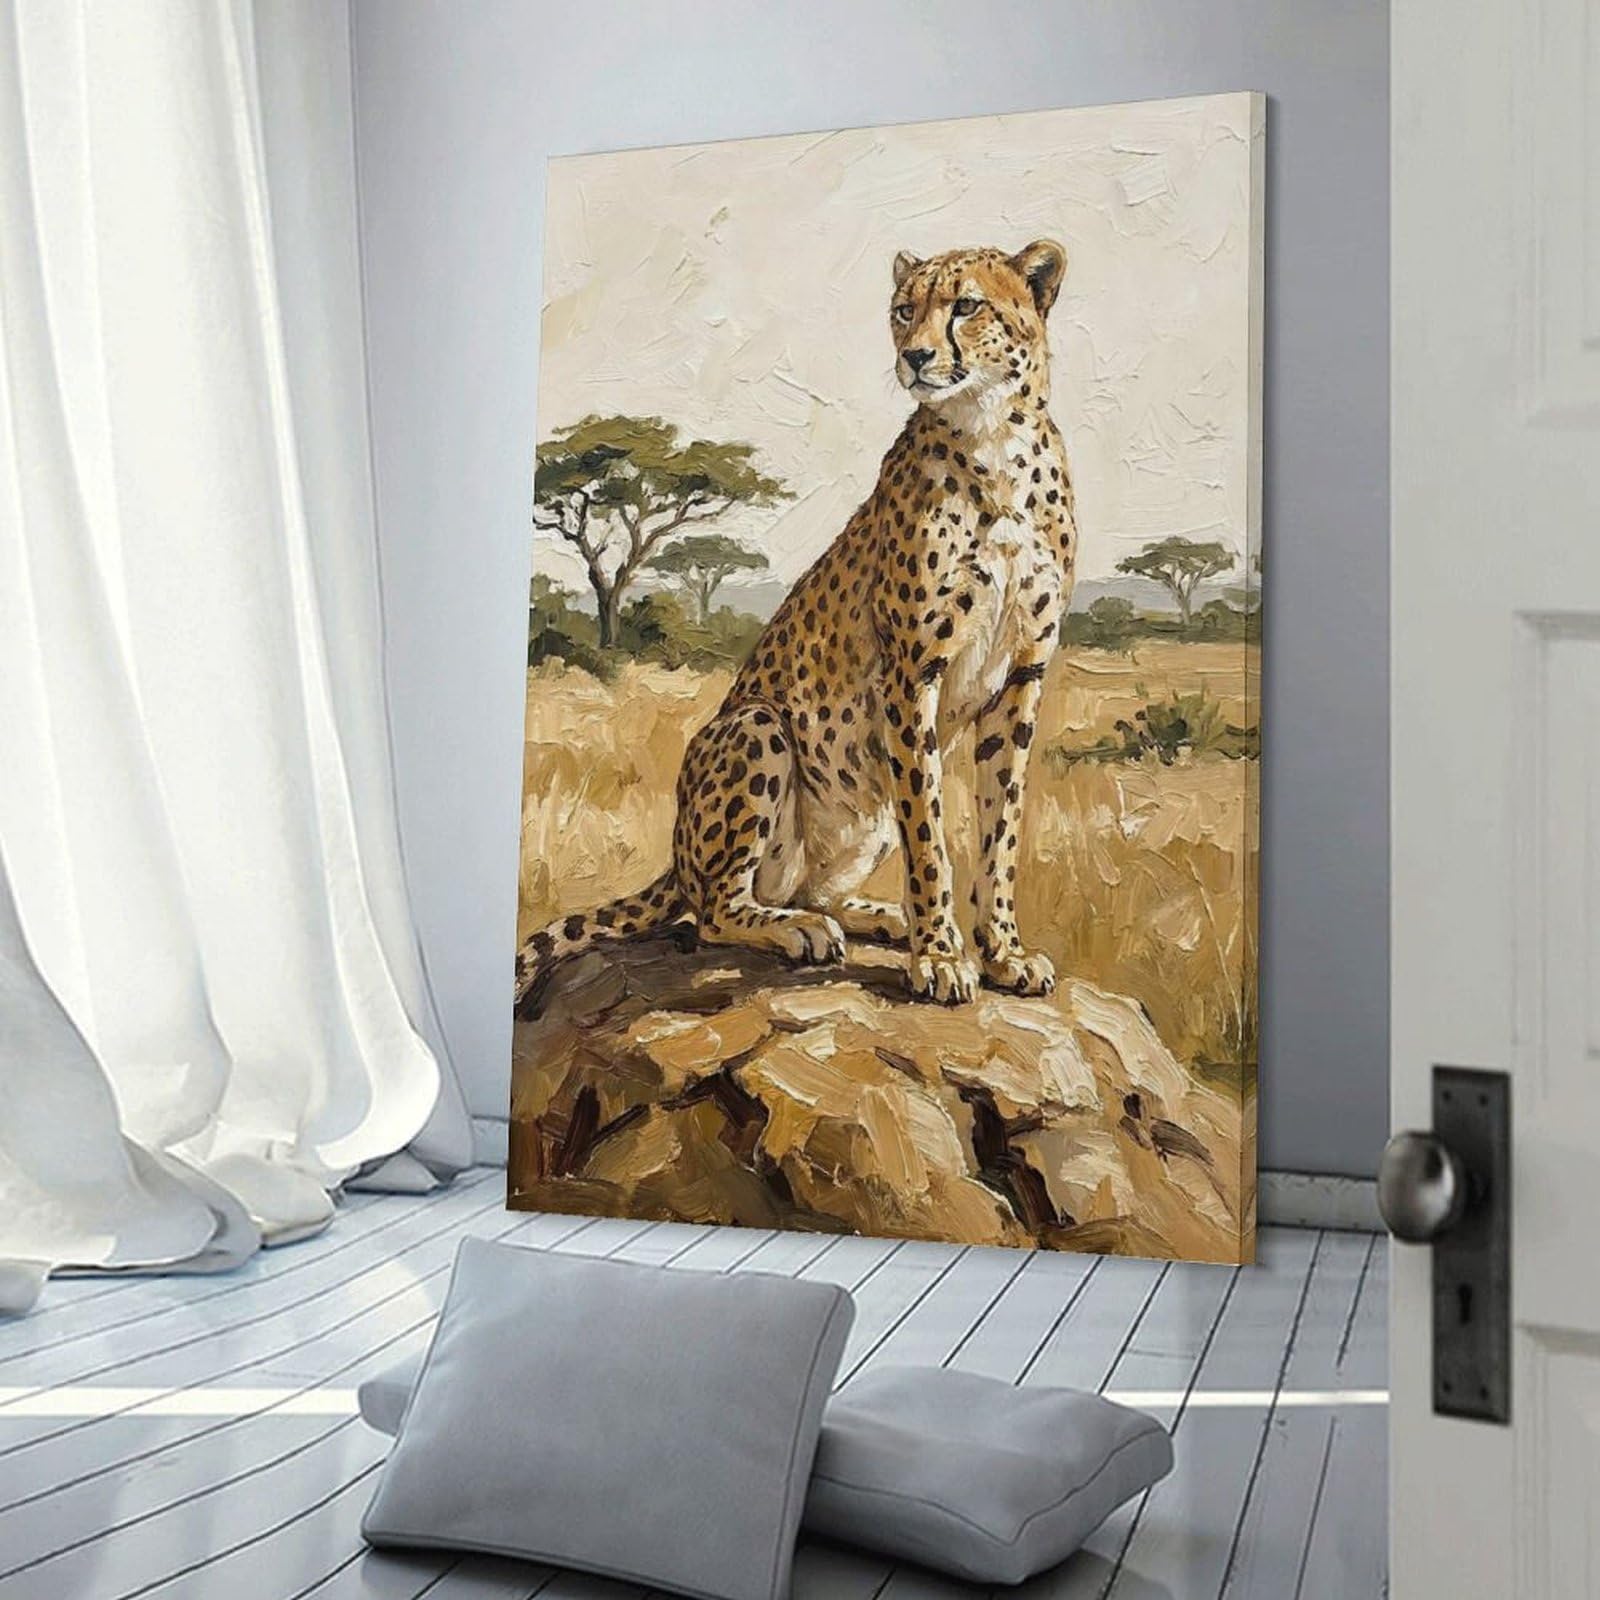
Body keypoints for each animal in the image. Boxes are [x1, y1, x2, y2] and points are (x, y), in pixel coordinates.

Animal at [515, 238, 1077, 1011]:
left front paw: (1001, 950)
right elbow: (931, 832)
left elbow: (1001, 828)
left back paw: (876, 915)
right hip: (757, 725)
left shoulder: (1021, 676)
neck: (995, 442)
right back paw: (802, 931)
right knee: (716, 909)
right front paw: (940, 956)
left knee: (807, 889)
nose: (915, 357)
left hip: (862, 812)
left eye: (966, 305)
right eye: (904, 310)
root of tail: (676, 859)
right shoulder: (910, 676)